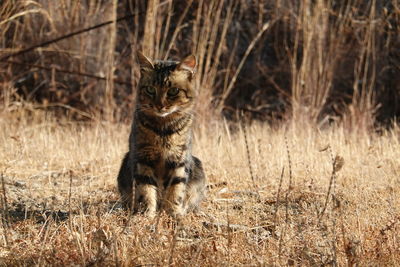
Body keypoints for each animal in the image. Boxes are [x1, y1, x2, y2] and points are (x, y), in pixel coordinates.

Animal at [116, 51, 206, 219]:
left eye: (173, 91)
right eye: (151, 89)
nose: (159, 105)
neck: (163, 129)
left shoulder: (179, 159)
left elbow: (176, 190)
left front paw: (173, 213)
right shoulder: (142, 158)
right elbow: (146, 190)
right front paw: (147, 215)